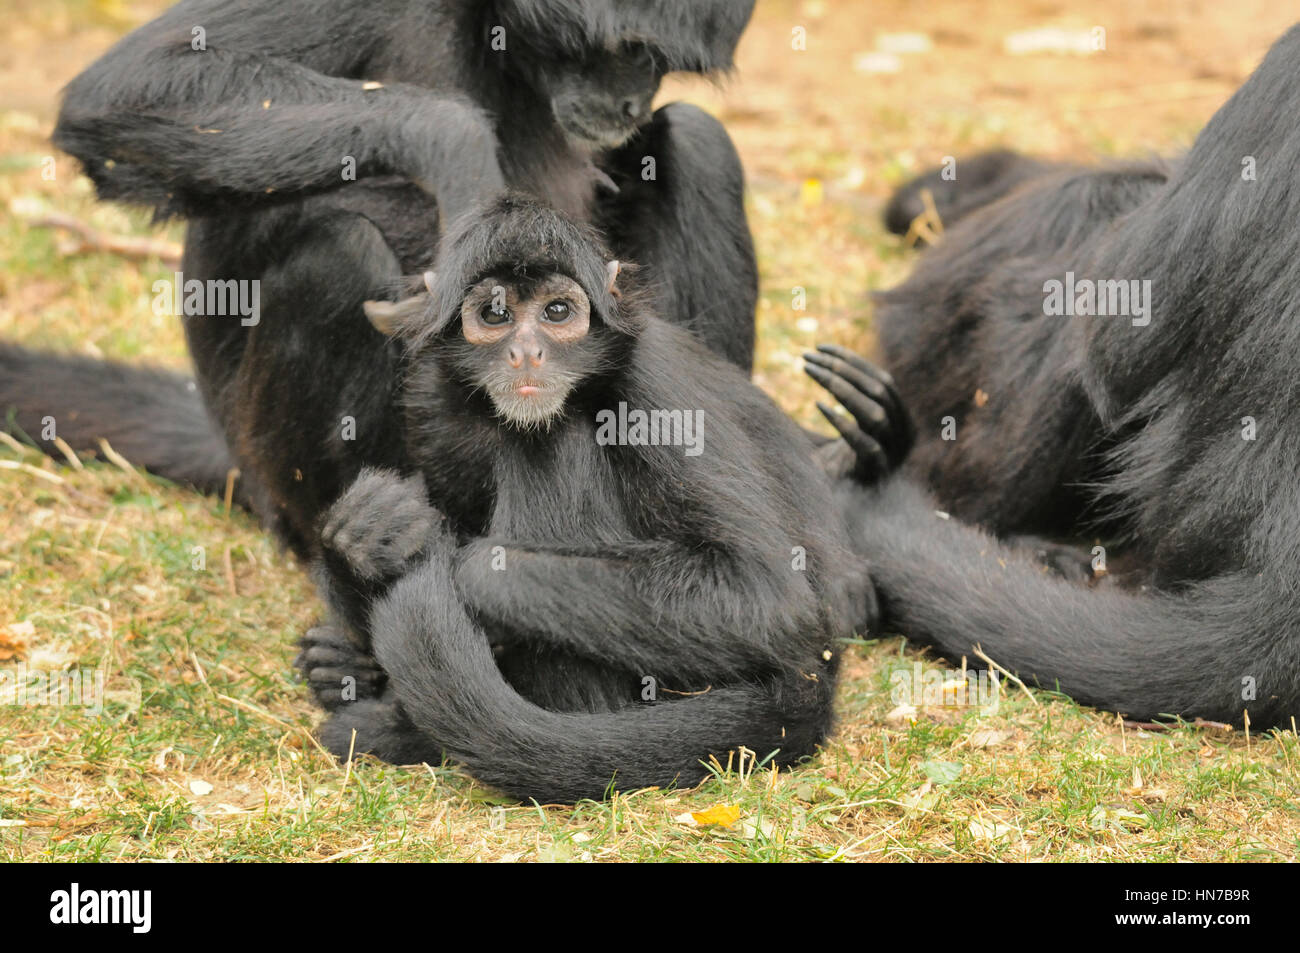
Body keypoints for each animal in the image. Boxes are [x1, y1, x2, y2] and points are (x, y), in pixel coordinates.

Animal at [2, 0, 754, 556]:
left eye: (659, 62)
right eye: (632, 51)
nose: (631, 104)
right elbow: (124, 91)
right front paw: (458, 153)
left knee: (697, 141)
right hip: (277, 476)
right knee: (342, 249)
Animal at [293, 195, 909, 800]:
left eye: (556, 313)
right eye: (494, 315)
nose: (526, 353)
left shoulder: (657, 383)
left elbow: (768, 598)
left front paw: (449, 564)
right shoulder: (429, 396)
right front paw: (364, 535)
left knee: (549, 437)